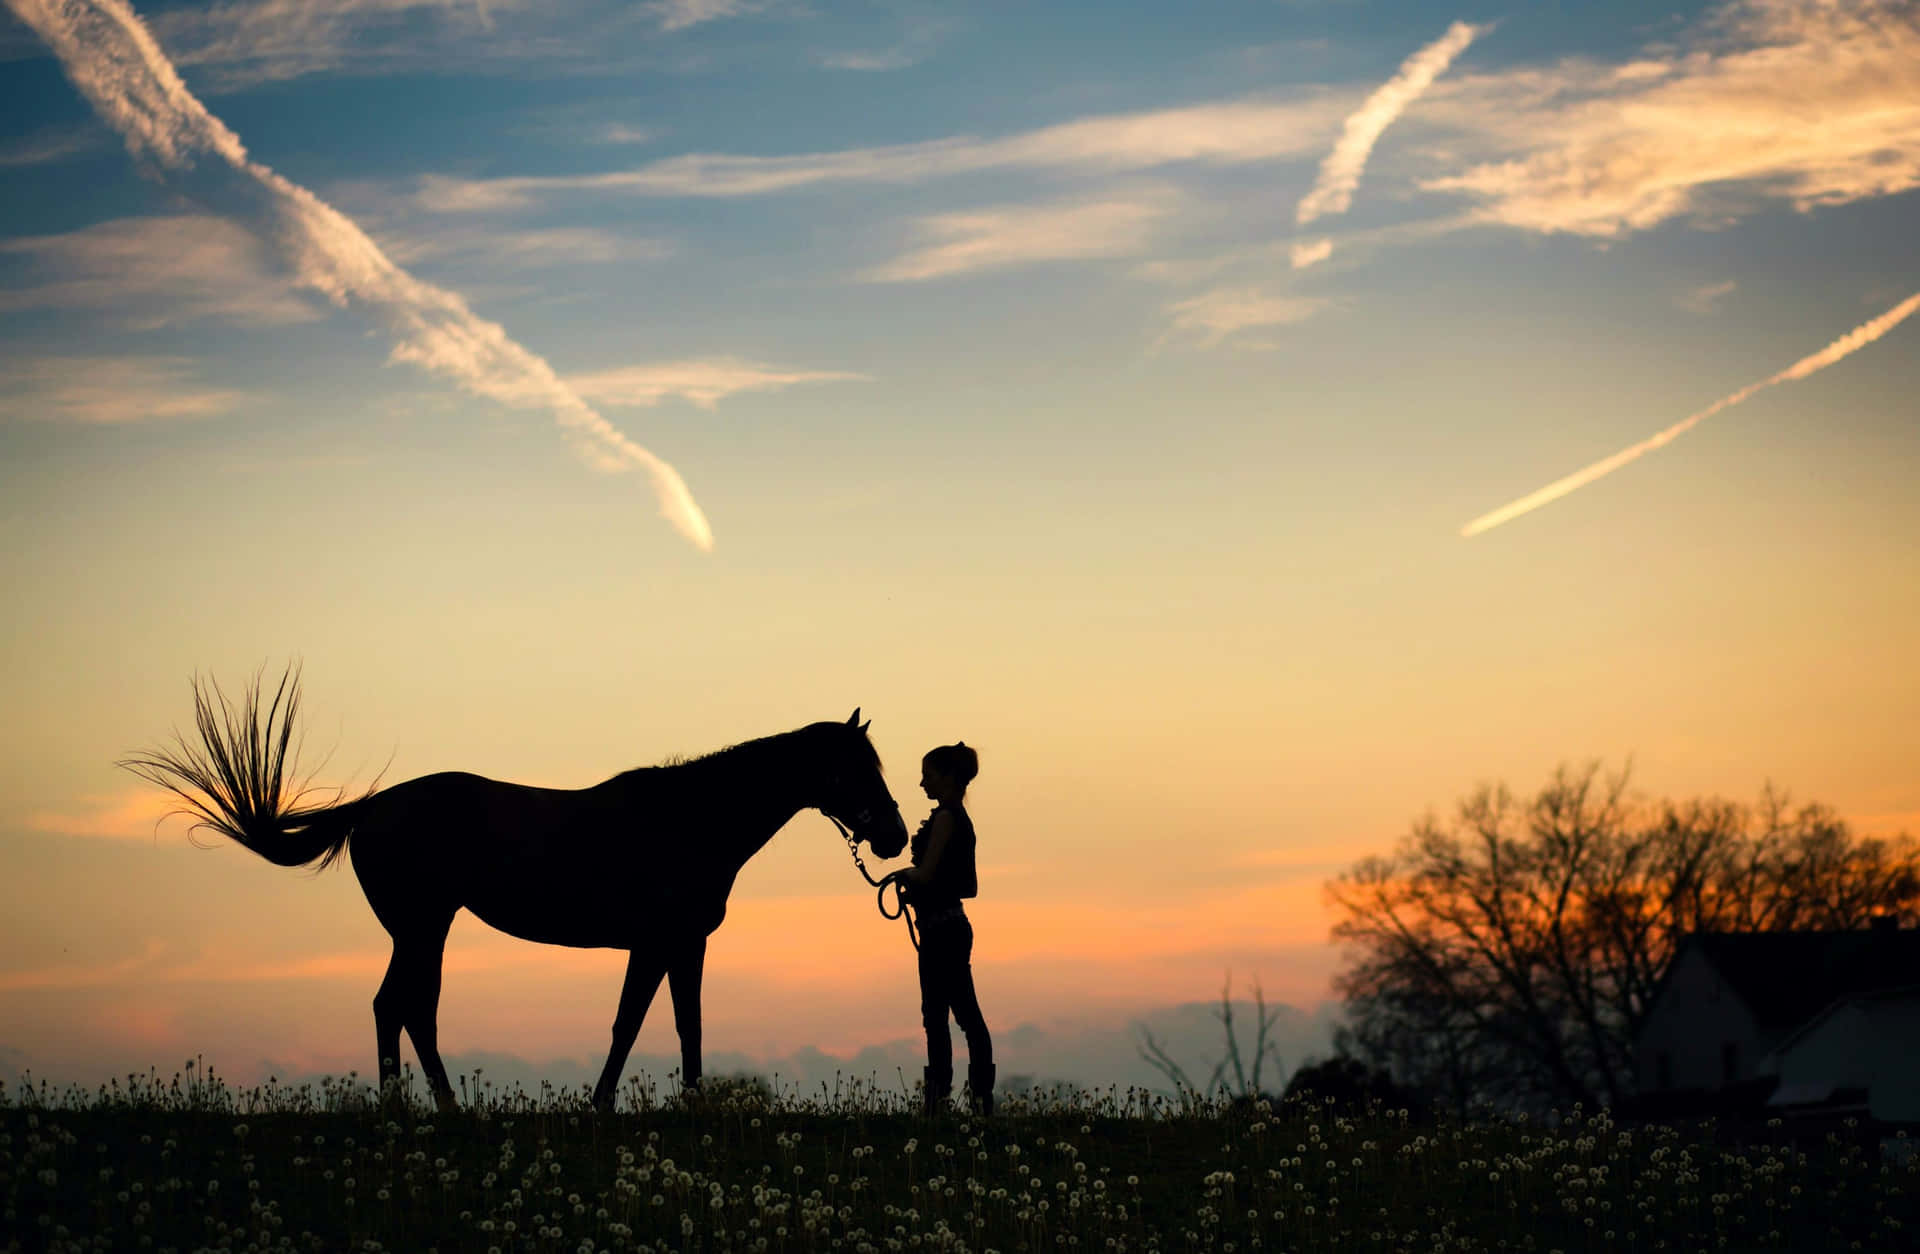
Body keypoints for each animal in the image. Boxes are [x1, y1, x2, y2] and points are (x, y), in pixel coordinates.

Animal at [120, 666, 909, 1112]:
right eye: (855, 768)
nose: (896, 837)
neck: (690, 817)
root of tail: (370, 808)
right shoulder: (660, 942)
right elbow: (637, 1025)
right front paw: (610, 1106)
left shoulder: (677, 946)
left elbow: (677, 1024)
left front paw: (672, 1106)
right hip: (423, 927)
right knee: (403, 1007)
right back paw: (425, 1109)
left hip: (423, 929)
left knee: (404, 1009)